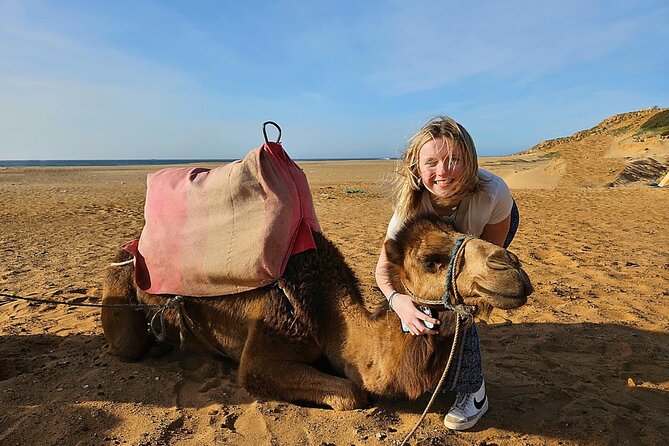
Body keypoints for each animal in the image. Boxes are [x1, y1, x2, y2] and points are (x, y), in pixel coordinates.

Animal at [101, 215, 532, 410]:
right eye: (430, 261)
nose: (511, 267)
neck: (325, 312)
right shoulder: (264, 347)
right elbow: (353, 392)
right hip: (119, 281)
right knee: (127, 344)